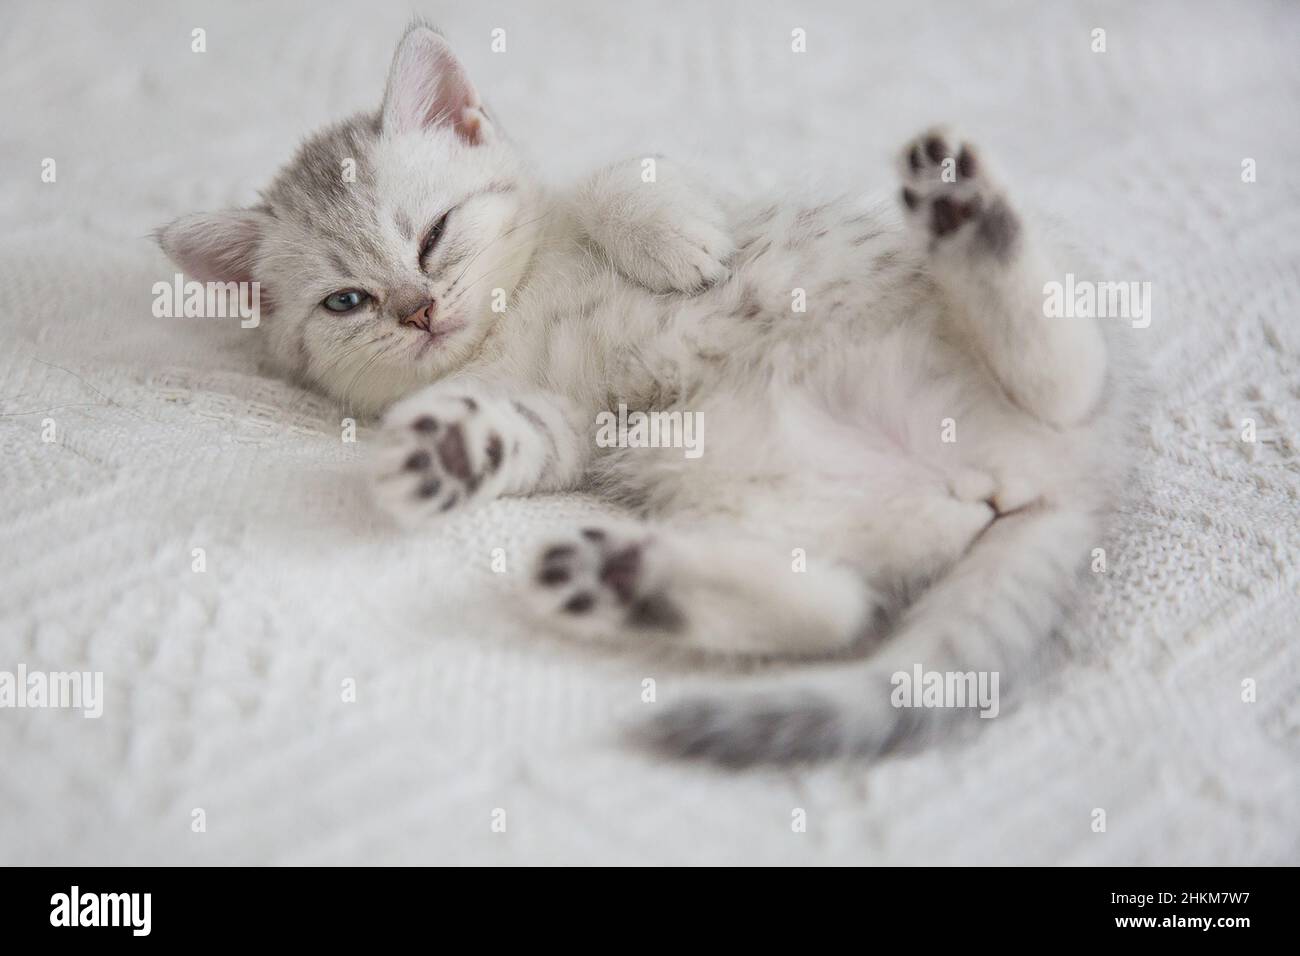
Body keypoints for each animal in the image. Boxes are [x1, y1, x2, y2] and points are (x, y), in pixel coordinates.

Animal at [159, 24, 1138, 770]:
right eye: (347, 302)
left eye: (433, 235)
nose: (419, 309)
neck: (511, 318)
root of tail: (1053, 483)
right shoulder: (565, 421)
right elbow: (514, 430)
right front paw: (449, 449)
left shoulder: (630, 194)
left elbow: (623, 172)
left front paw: (675, 242)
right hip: (783, 507)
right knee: (838, 607)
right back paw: (621, 579)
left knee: (1074, 373)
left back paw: (968, 212)